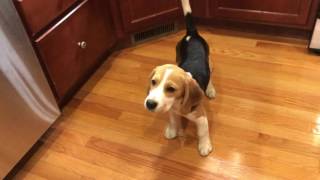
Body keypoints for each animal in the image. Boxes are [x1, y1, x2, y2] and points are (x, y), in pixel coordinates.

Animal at [144, 0, 215, 156]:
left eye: (171, 89)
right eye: (153, 82)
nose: (150, 104)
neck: (177, 104)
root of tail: (191, 34)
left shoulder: (201, 116)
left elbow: (203, 132)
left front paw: (204, 146)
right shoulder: (171, 110)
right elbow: (173, 120)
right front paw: (172, 130)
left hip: (208, 58)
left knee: (211, 73)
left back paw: (210, 89)